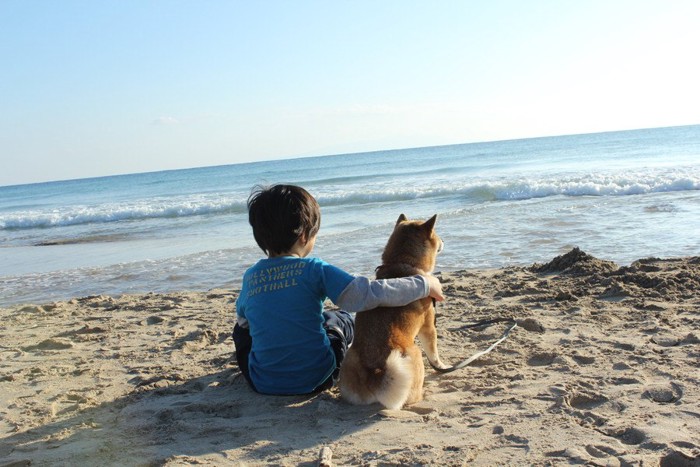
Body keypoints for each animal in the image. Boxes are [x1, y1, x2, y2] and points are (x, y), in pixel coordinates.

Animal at [338, 215, 448, 410]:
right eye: (436, 234)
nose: (444, 240)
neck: (403, 261)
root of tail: (374, 375)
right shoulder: (428, 327)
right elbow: (434, 354)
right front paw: (441, 366)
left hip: (350, 359)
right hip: (415, 353)